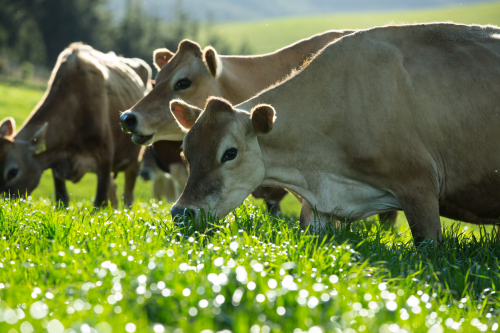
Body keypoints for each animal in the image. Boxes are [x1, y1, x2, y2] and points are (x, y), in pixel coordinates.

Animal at [0, 42, 150, 206]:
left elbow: (100, 201)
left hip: (134, 160)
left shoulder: (105, 159)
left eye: (12, 172)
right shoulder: (56, 162)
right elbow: (62, 200)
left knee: (127, 196)